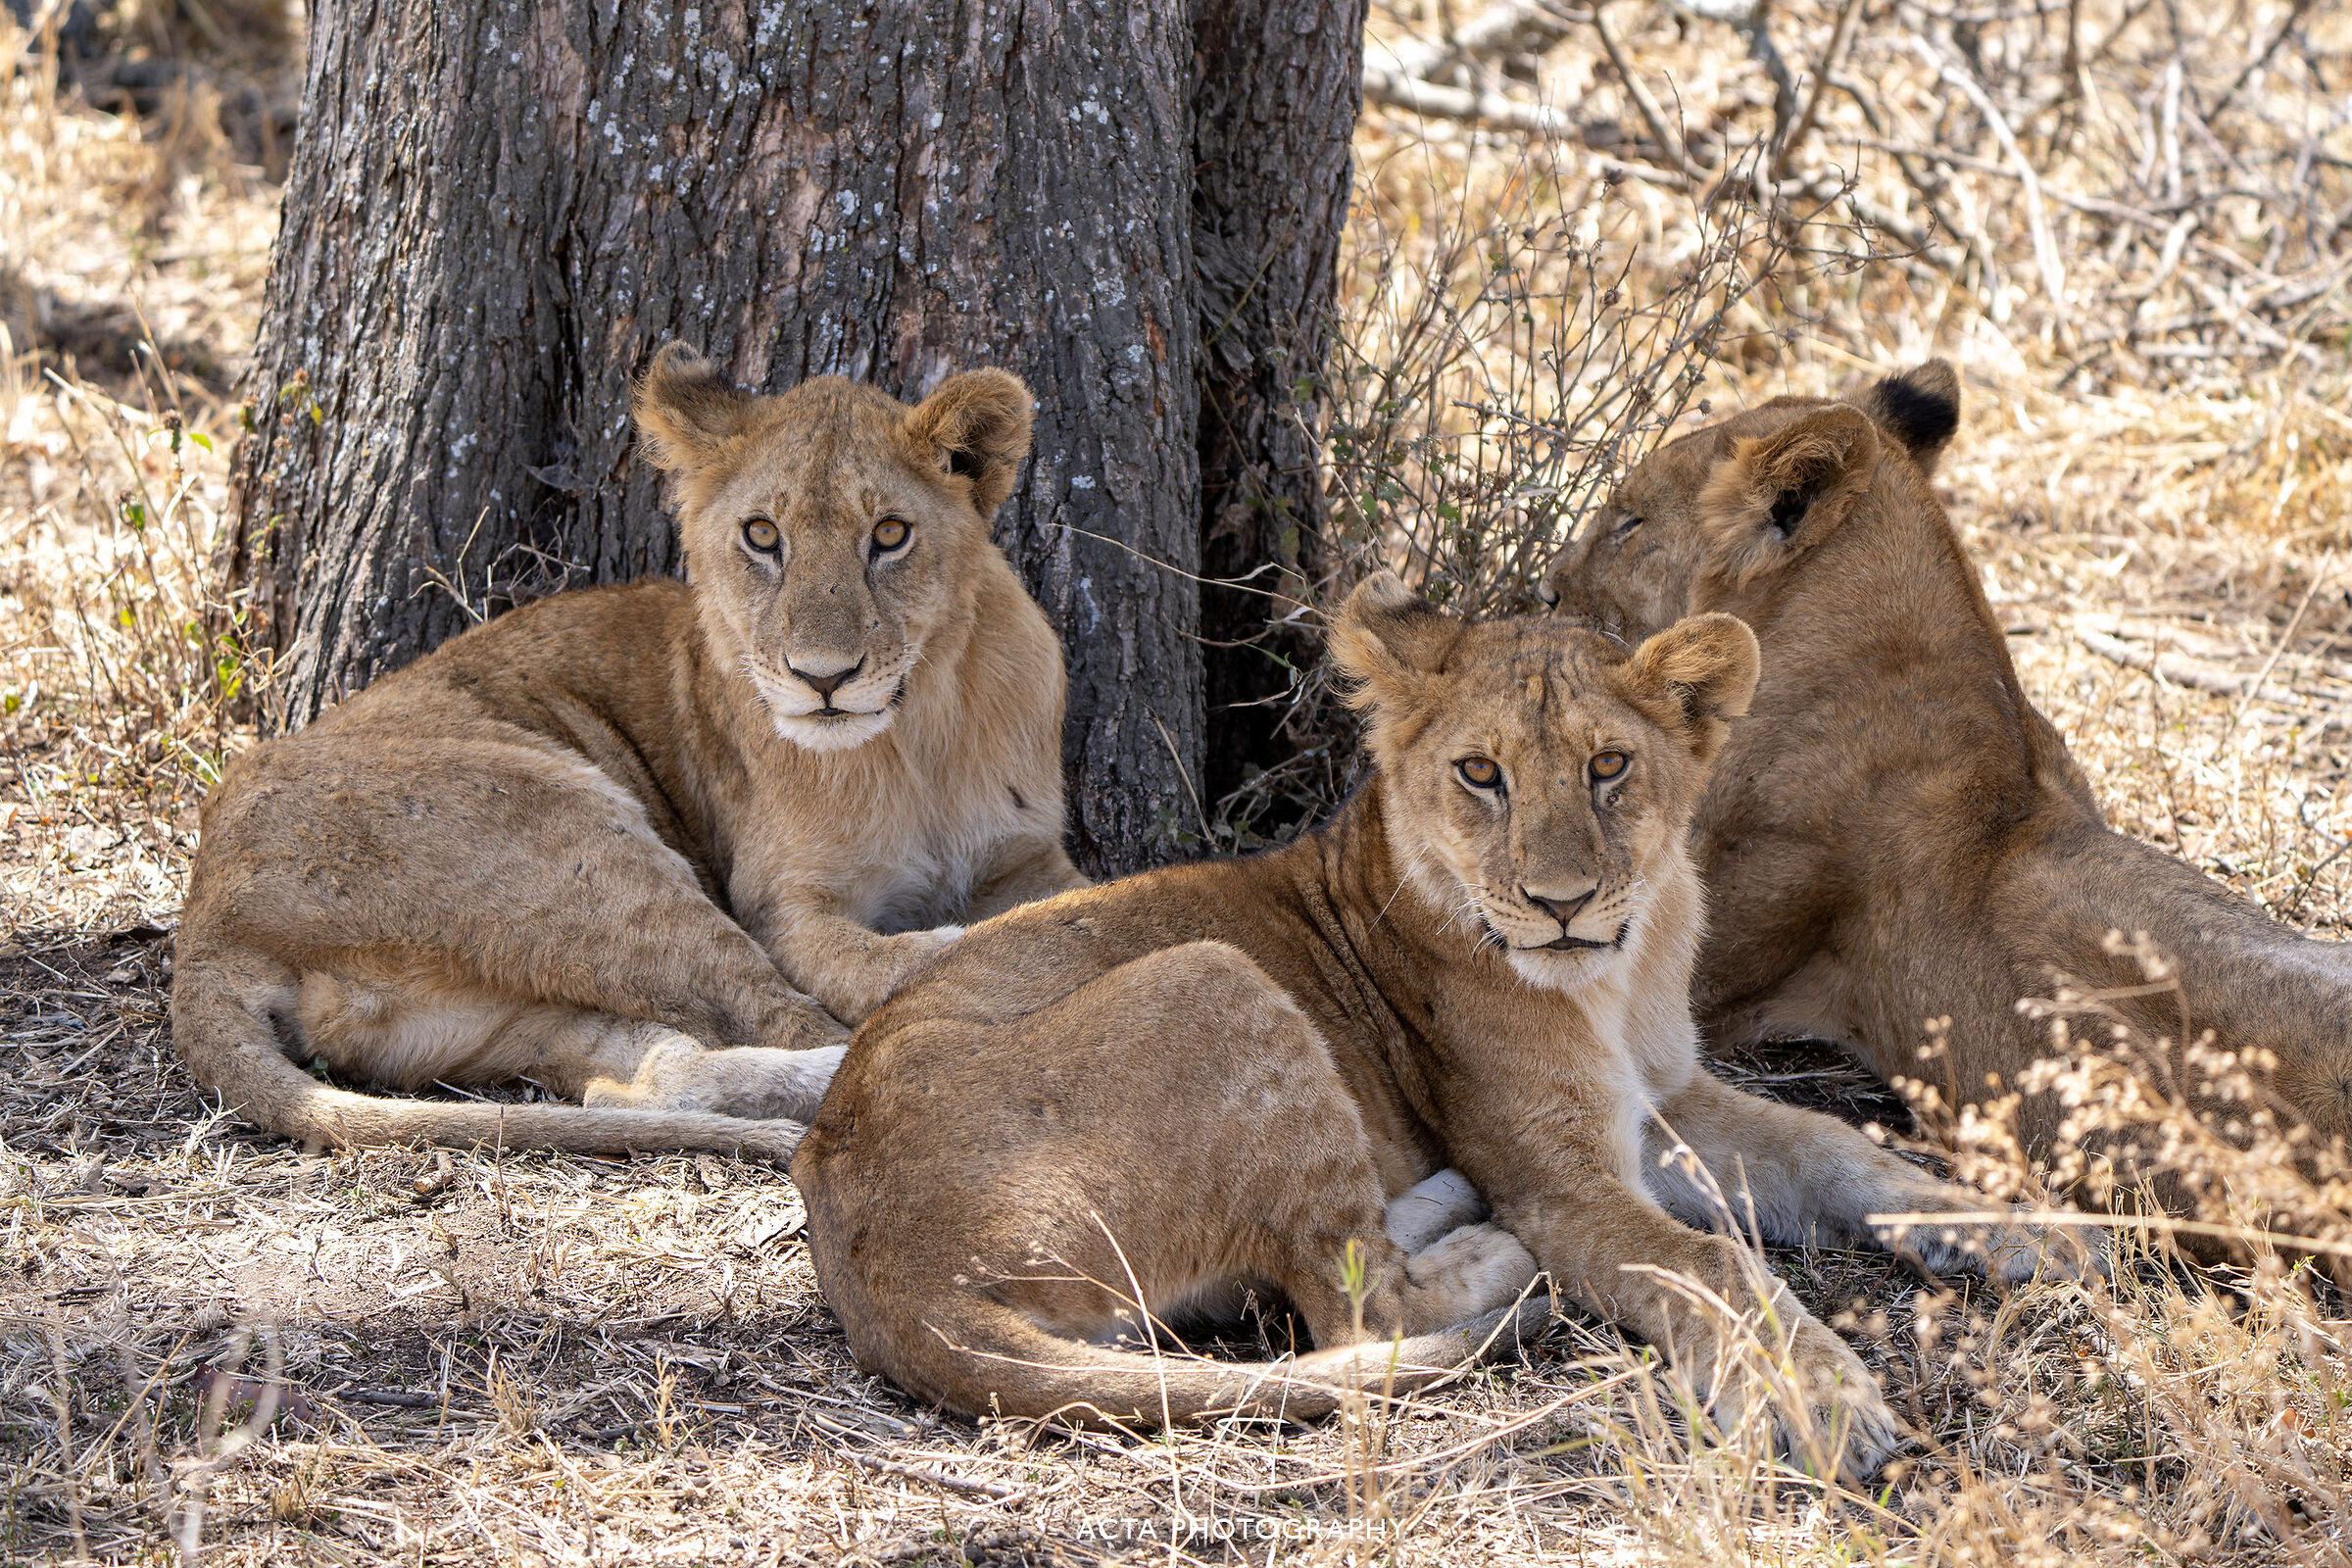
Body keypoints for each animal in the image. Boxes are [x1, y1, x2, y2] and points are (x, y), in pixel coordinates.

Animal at [172, 346, 1086, 1161]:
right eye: (763, 535)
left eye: (890, 534)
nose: (822, 679)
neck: (915, 736)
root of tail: (205, 922)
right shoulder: (781, 907)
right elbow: (871, 963)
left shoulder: (1026, 852)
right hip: (577, 848)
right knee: (782, 1016)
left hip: (499, 1014)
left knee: (644, 1081)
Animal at [793, 574, 2079, 1476]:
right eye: (1480, 774)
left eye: (1610, 765)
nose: (1560, 903)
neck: (1621, 974)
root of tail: (878, 1266)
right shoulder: (1563, 1179)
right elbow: (1713, 1261)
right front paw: (1819, 1396)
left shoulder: (1663, 1097)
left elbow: (1840, 1148)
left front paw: (2035, 1232)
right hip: (1216, 978)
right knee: (1348, 1300)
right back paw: (1487, 1242)